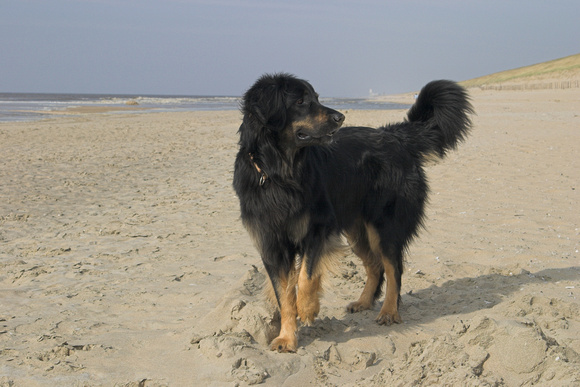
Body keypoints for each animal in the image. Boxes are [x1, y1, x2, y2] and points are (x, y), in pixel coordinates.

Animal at [231, 73, 472, 352]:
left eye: (317, 98)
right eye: (301, 101)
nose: (340, 117)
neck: (279, 173)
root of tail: (395, 137)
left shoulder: (318, 229)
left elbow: (305, 277)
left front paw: (308, 308)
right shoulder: (271, 245)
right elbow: (284, 295)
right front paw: (287, 338)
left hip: (384, 227)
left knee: (394, 268)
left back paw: (389, 312)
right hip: (358, 231)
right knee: (375, 266)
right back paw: (364, 302)